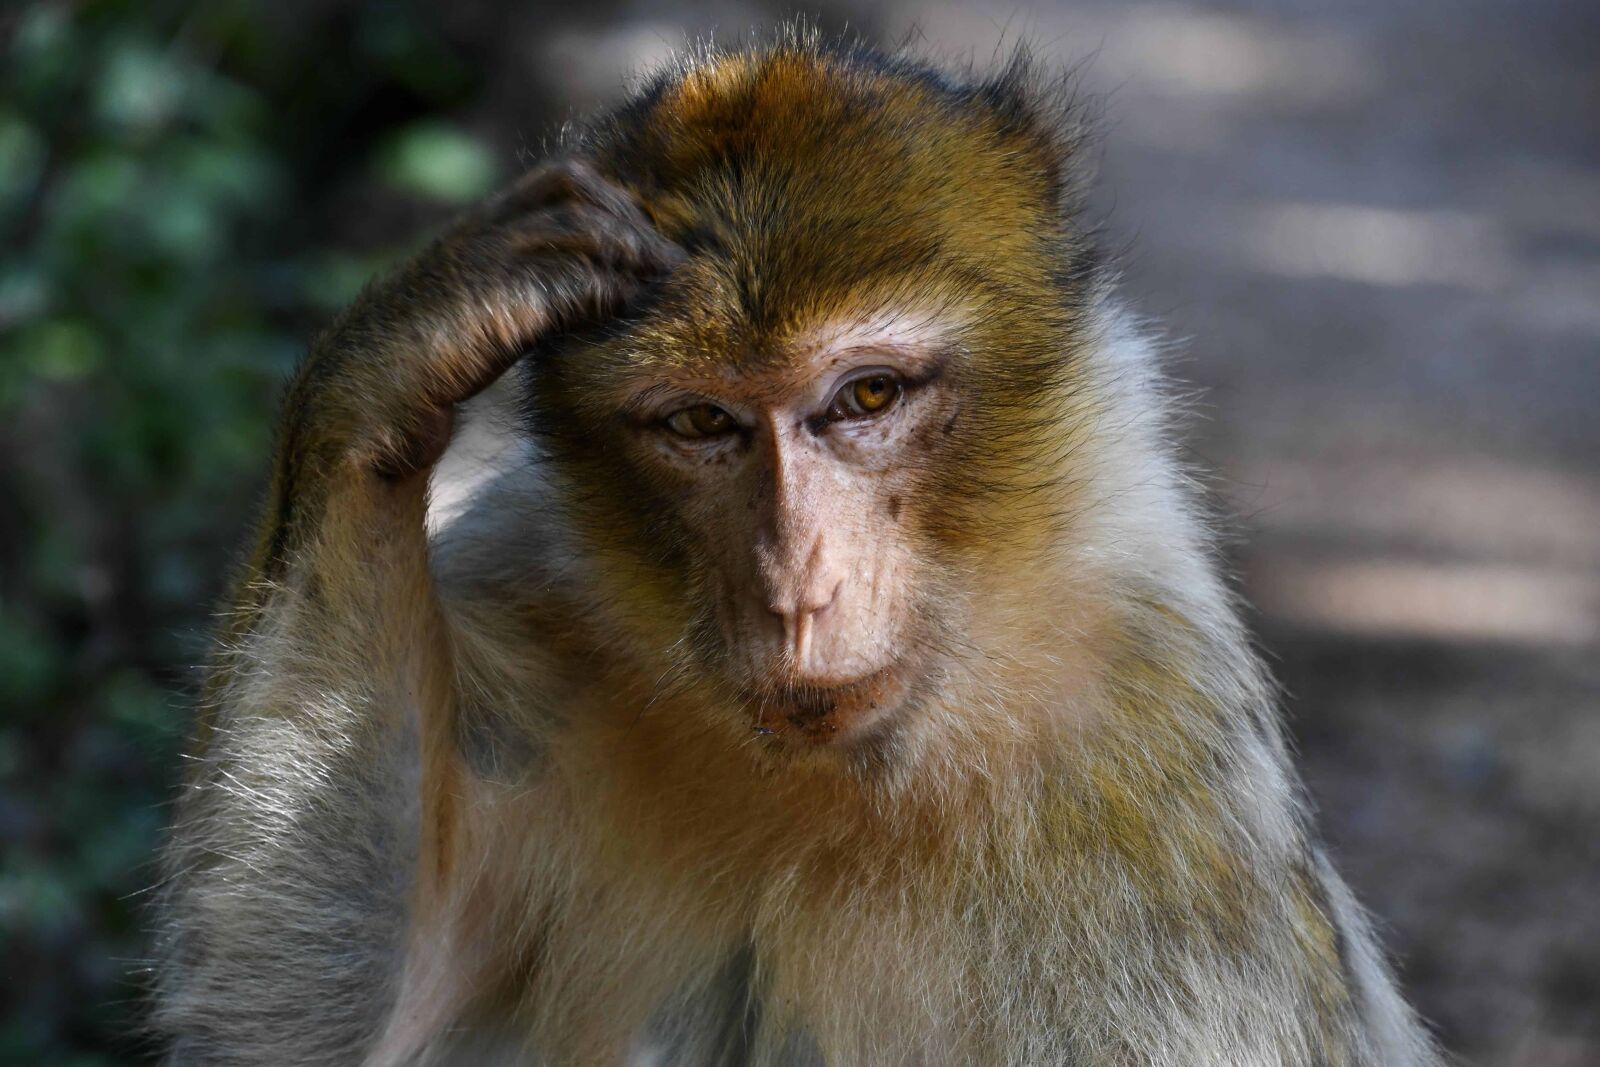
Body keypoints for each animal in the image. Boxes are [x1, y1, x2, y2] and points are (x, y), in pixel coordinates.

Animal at [152, 30, 1441, 1067]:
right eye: (699, 423)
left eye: (864, 396)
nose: (794, 590)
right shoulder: (526, 593)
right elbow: (311, 1027)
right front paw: (410, 337)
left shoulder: (1150, 772)